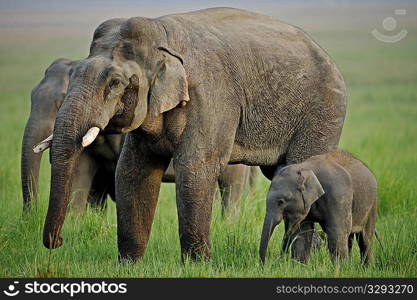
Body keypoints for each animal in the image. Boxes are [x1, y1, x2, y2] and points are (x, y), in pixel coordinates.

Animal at [41, 8, 344, 262]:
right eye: (74, 74)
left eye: (115, 83)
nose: (59, 242)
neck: (162, 34)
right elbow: (133, 170)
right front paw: (128, 265)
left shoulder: (210, 97)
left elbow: (194, 168)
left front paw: (196, 265)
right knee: (279, 172)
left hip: (322, 110)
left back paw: (301, 260)